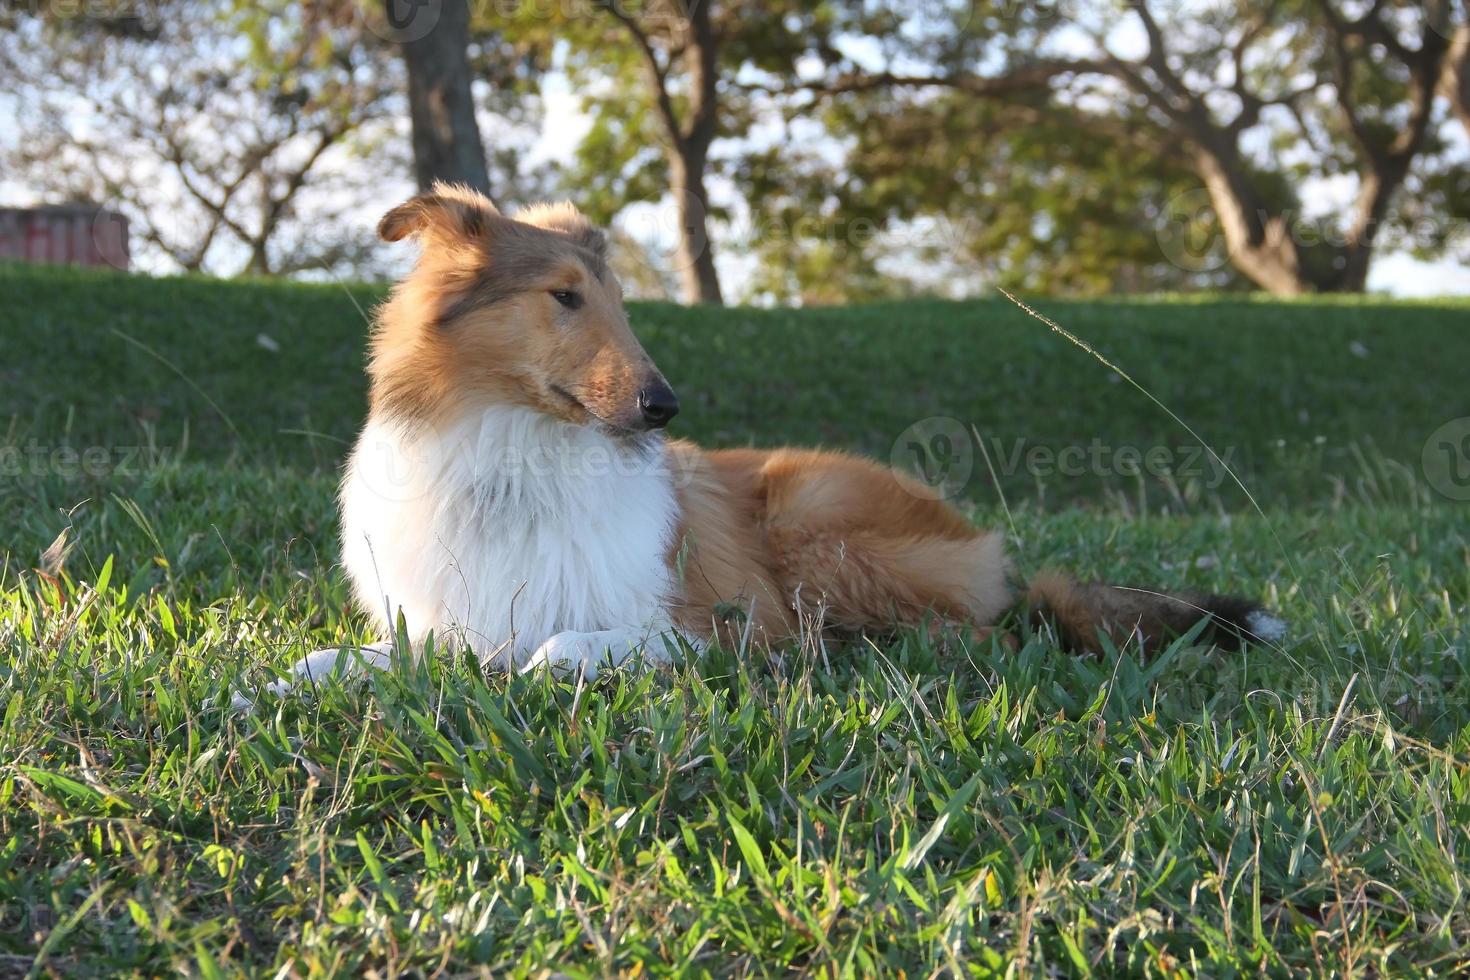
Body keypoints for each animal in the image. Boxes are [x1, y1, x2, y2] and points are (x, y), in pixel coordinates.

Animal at [246, 183, 1281, 702]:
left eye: (621, 302)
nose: (665, 407)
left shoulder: (701, 624)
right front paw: (277, 684)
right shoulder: (437, 623)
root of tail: (990, 551)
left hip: (815, 526)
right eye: (564, 296)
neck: (521, 457)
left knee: (972, 632)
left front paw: (545, 666)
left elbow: (559, 647)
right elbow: (341, 661)